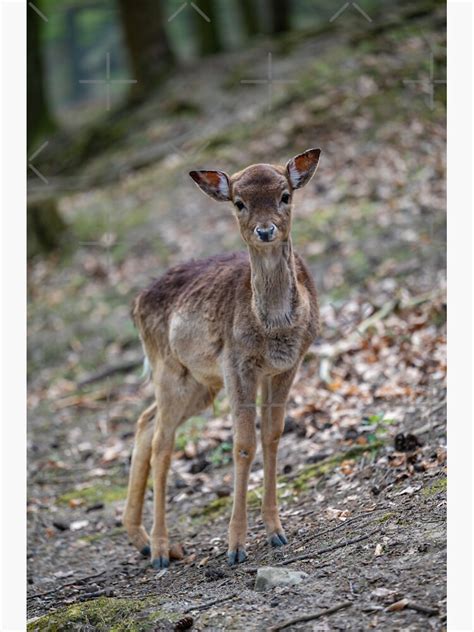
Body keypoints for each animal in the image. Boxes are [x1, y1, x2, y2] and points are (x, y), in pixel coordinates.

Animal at [122, 147, 322, 568]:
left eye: (285, 195)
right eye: (239, 202)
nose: (265, 230)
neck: (275, 330)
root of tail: (136, 303)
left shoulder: (288, 365)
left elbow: (273, 434)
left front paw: (277, 532)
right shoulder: (236, 364)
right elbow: (243, 444)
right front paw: (236, 546)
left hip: (199, 383)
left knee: (146, 422)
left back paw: (144, 541)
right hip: (168, 369)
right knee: (163, 443)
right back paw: (161, 549)